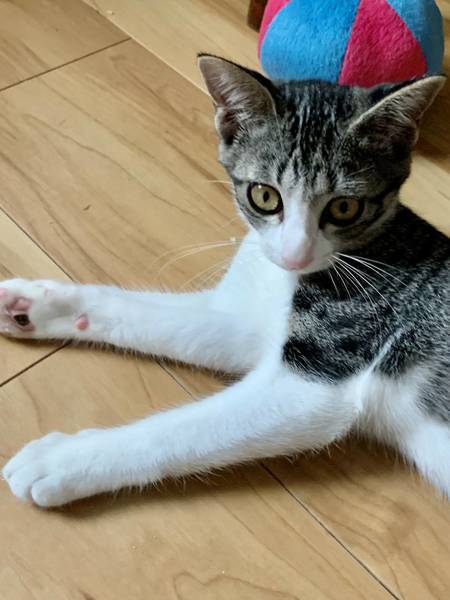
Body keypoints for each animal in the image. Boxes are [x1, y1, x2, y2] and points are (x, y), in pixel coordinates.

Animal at [1, 55, 448, 508]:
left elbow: (181, 430)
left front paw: (62, 459)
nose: (295, 255)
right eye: (264, 196)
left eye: (344, 207)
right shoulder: (243, 321)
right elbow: (146, 315)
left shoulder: (321, 374)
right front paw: (36, 306)